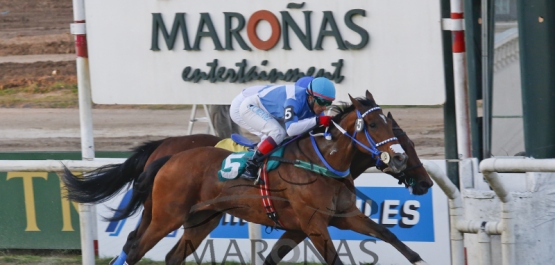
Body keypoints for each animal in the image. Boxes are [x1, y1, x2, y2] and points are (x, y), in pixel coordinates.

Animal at [96, 92, 430, 262]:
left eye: (411, 145)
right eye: (372, 125)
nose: (399, 159)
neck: (324, 163)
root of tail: (170, 155)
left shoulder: (334, 219)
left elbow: (389, 235)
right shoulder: (313, 225)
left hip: (200, 220)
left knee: (168, 256)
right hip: (167, 216)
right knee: (135, 248)